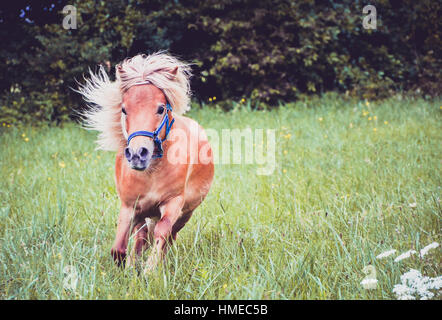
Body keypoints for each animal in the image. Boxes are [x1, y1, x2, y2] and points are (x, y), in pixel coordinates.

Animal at [78, 53, 215, 272]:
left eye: (160, 109)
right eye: (124, 109)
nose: (137, 153)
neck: (152, 172)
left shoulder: (173, 203)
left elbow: (162, 232)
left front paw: (150, 270)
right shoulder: (130, 206)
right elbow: (119, 246)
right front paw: (128, 267)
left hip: (186, 213)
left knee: (170, 235)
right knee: (141, 236)